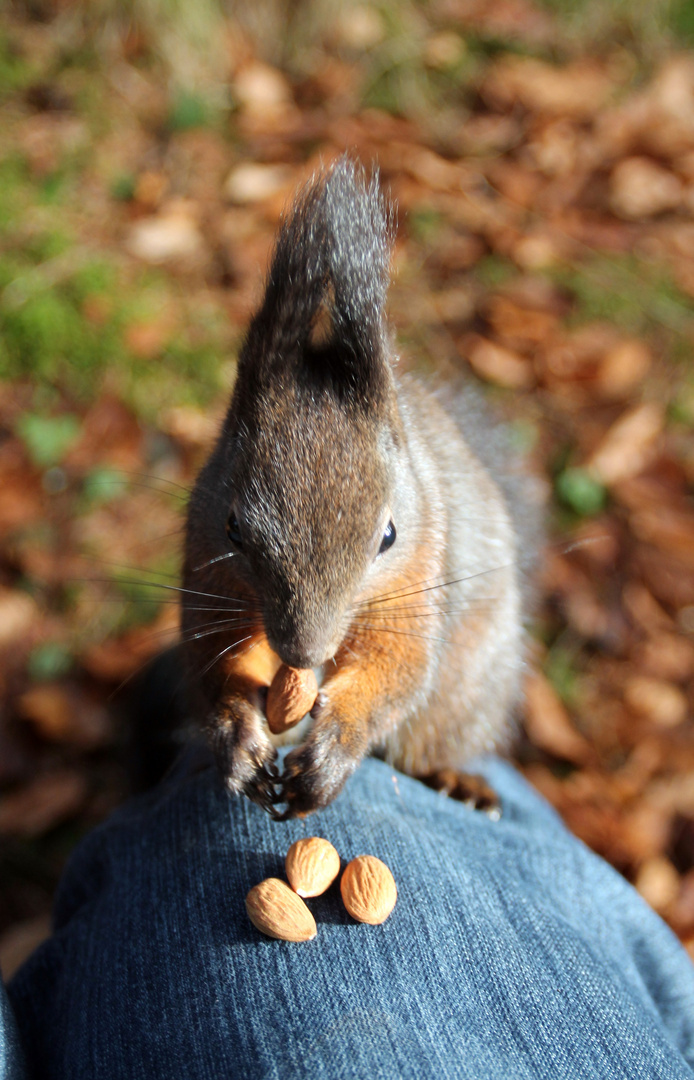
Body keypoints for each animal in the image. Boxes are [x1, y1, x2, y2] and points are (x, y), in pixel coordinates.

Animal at [182, 156, 539, 816]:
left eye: (389, 536)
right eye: (234, 529)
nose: (303, 656)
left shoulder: (416, 581)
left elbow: (395, 668)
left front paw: (335, 744)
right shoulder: (208, 571)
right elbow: (218, 656)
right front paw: (239, 733)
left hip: (468, 691)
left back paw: (457, 781)